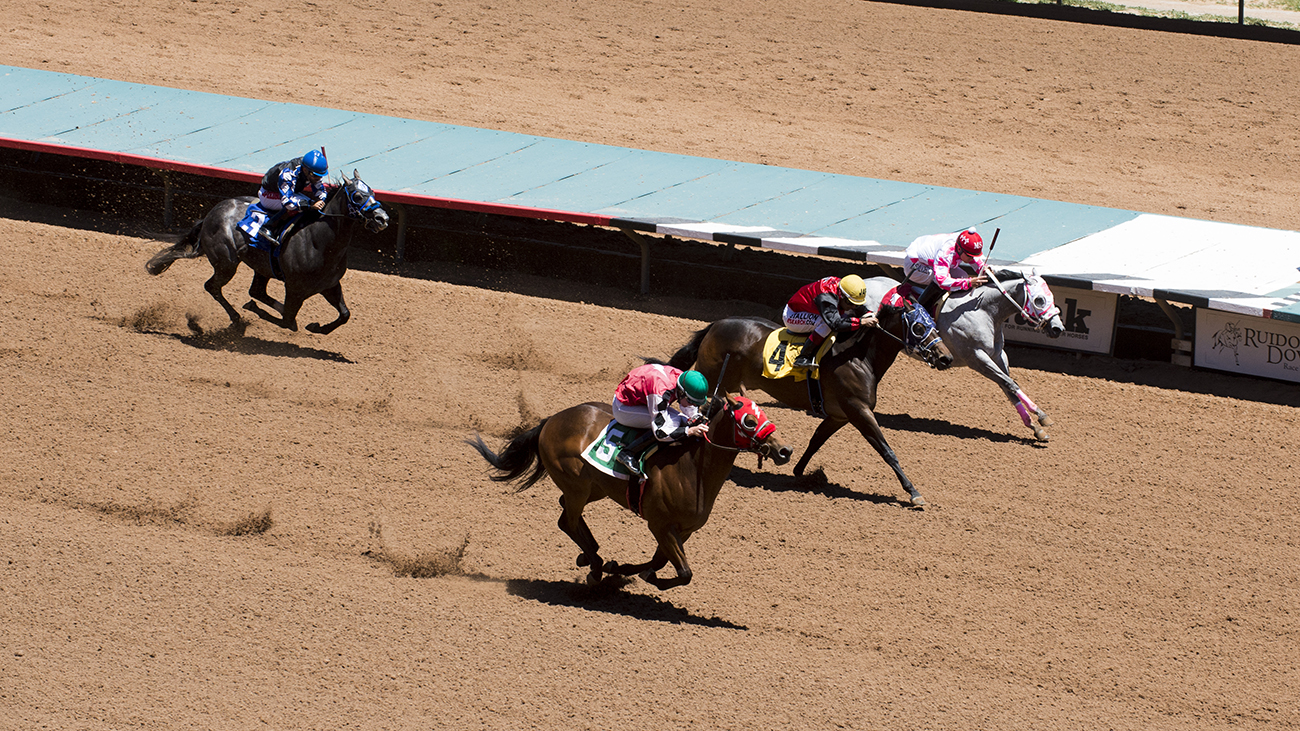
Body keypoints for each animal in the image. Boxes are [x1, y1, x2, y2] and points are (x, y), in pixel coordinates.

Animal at [143, 169, 384, 335]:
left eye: (372, 192)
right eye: (358, 196)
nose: (383, 218)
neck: (319, 240)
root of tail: (212, 213)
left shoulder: (330, 285)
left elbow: (345, 314)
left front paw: (317, 327)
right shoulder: (295, 288)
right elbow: (288, 321)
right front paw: (254, 309)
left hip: (261, 267)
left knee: (256, 290)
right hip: (226, 263)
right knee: (213, 286)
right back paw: (237, 319)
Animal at [467, 392, 790, 585]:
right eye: (750, 420)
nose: (784, 450)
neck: (691, 469)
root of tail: (550, 420)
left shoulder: (683, 529)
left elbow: (661, 561)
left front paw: (623, 569)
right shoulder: (659, 524)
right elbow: (684, 572)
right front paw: (634, 573)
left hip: (595, 487)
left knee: (564, 513)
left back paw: (591, 556)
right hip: (576, 484)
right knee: (567, 520)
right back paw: (595, 564)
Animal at [665, 301, 951, 507]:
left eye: (934, 323)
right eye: (918, 327)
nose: (946, 358)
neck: (859, 358)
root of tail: (715, 324)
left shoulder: (839, 415)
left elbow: (817, 439)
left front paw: (800, 470)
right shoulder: (858, 410)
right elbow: (887, 450)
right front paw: (913, 492)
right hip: (710, 376)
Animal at [863, 267, 1066, 437]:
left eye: (1052, 295)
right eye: (1039, 300)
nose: (1058, 328)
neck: (984, 312)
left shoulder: (998, 356)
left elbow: (1008, 386)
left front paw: (1035, 427)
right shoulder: (976, 358)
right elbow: (1010, 384)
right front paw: (1041, 416)